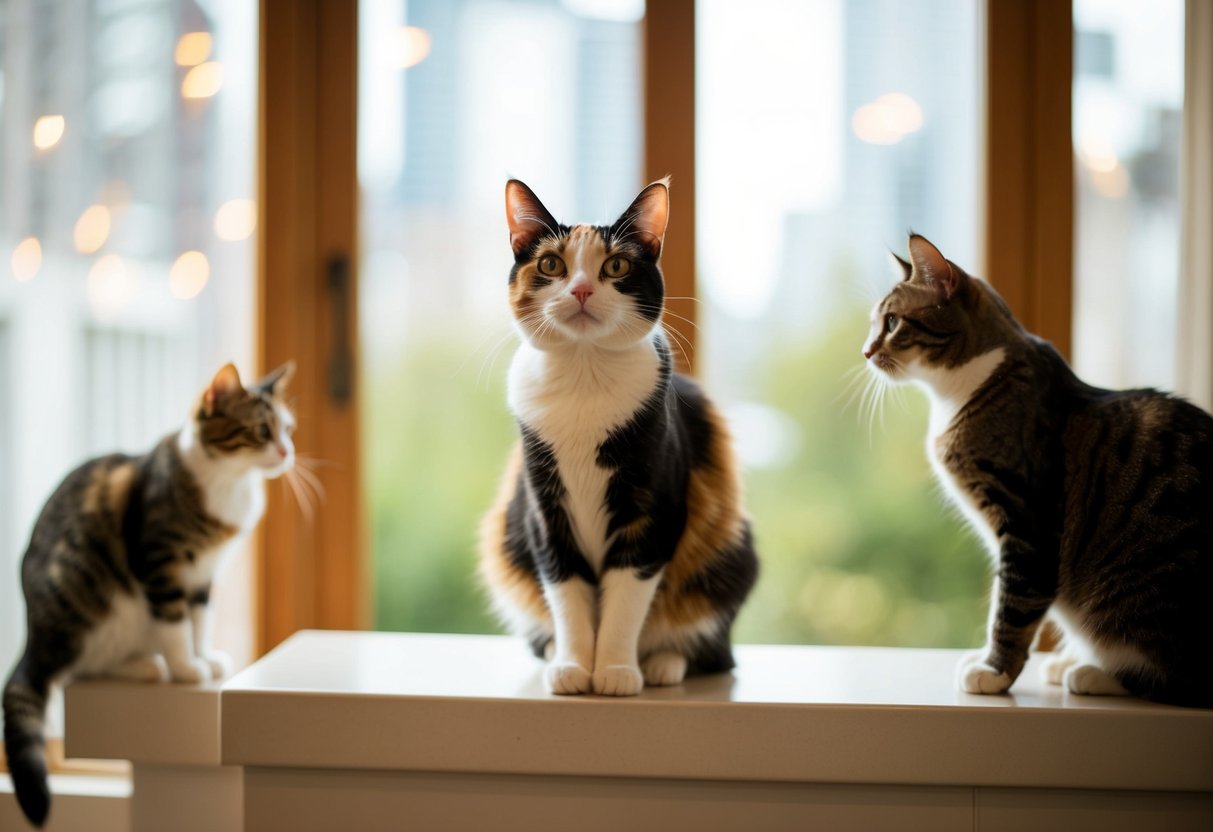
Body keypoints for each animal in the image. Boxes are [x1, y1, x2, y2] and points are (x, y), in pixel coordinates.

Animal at [2, 363, 294, 829]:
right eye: (262, 430)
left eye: (289, 429)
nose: (287, 452)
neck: (228, 480)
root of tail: (34, 642)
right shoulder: (160, 562)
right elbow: (175, 623)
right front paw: (186, 668)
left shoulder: (203, 575)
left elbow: (200, 621)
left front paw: (204, 657)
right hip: (96, 604)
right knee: (80, 667)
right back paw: (145, 665)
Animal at [480, 180, 756, 698]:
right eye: (551, 264)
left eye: (616, 266)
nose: (582, 289)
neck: (584, 375)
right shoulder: (545, 510)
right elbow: (566, 590)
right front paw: (573, 666)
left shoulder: (653, 509)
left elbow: (627, 595)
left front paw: (613, 671)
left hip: (729, 556)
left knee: (712, 649)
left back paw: (663, 663)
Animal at [863, 236, 1213, 708]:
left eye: (892, 321)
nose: (865, 352)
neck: (959, 391)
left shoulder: (1028, 522)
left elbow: (1011, 606)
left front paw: (993, 672)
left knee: (1180, 678)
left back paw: (1094, 673)